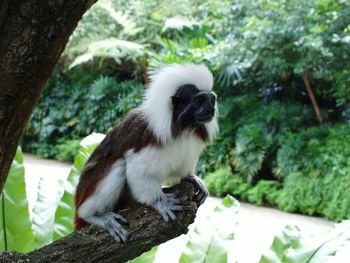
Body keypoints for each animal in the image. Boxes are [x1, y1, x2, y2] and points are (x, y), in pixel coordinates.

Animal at [74, 64, 219, 243]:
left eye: (211, 100)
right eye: (199, 101)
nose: (211, 109)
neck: (184, 127)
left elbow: (182, 168)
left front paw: (192, 178)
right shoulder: (149, 143)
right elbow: (137, 170)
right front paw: (160, 202)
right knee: (119, 163)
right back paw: (93, 216)